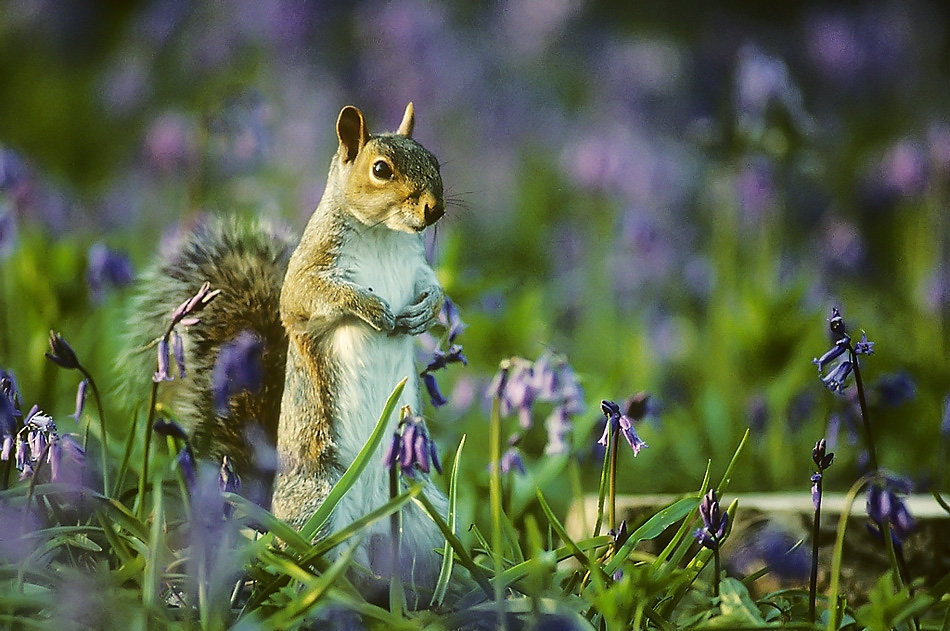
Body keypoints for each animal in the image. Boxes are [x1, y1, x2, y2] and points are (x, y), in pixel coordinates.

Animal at [123, 103, 448, 588]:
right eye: (380, 170)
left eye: (436, 162)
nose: (434, 209)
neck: (383, 235)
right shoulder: (310, 271)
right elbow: (308, 297)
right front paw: (373, 309)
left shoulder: (417, 268)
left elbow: (433, 288)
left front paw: (425, 310)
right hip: (319, 501)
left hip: (417, 511)